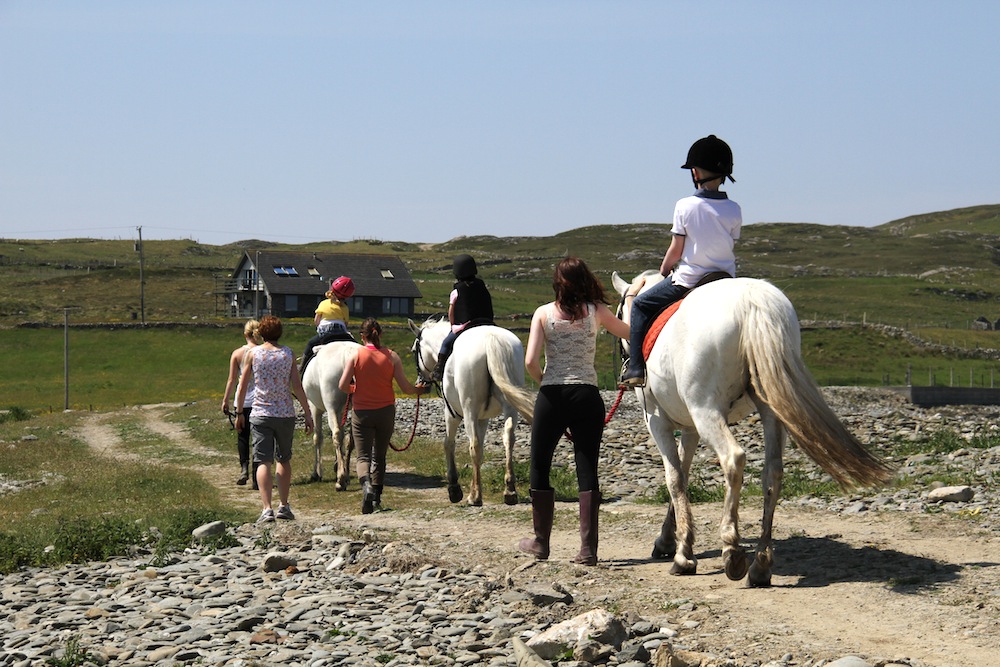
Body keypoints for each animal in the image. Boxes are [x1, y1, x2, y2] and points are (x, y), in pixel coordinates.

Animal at [302, 340, 362, 490]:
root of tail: (349, 354)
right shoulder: (342, 411)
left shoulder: (314, 408)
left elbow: (317, 438)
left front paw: (317, 473)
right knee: (352, 438)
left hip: (331, 407)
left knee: (336, 434)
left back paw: (340, 479)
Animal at [406, 318, 536, 506]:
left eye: (414, 351)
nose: (421, 383)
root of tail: (491, 339)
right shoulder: (483, 418)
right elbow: (481, 447)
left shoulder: (451, 413)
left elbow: (449, 443)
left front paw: (454, 488)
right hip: (510, 406)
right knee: (508, 438)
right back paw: (510, 490)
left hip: (469, 410)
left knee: (473, 444)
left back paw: (475, 496)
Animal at [612, 268, 896, 588]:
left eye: (621, 311)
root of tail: (753, 302)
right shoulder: (690, 428)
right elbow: (683, 475)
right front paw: (668, 540)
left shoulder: (658, 421)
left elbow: (674, 479)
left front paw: (683, 555)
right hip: (770, 410)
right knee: (773, 472)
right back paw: (760, 564)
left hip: (706, 410)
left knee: (733, 458)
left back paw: (732, 549)